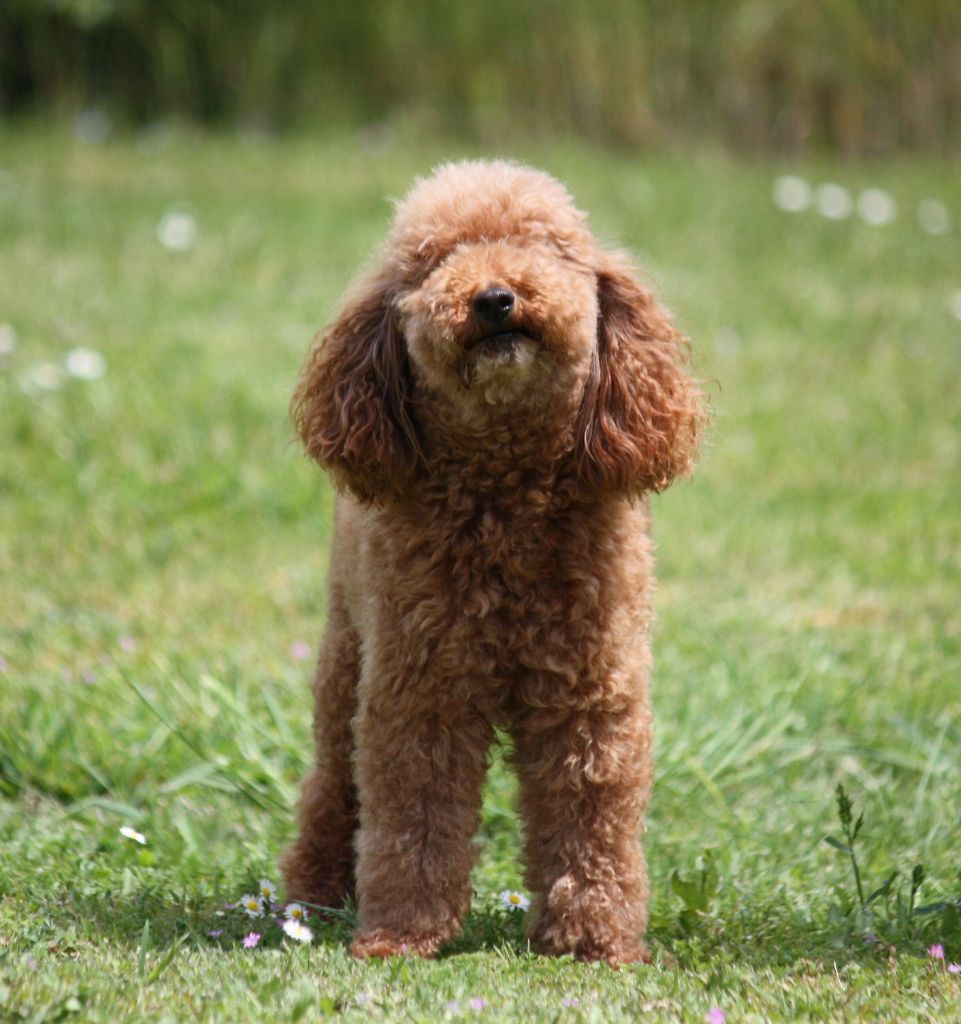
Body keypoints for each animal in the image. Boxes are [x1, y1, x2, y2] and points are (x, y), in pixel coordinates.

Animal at [280, 155, 700, 962]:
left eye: (545, 247)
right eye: (433, 261)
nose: (495, 297)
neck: (505, 498)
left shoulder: (589, 698)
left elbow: (589, 815)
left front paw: (595, 941)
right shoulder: (420, 694)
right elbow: (412, 820)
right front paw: (400, 935)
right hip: (347, 656)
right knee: (333, 786)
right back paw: (313, 893)